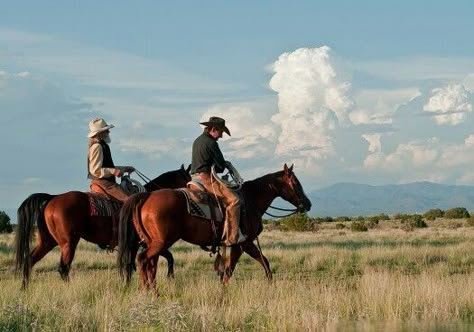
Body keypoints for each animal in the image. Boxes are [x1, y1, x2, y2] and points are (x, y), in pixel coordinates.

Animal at [16, 165, 191, 288]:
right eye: (188, 179)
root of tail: (53, 198)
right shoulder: (138, 243)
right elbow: (131, 265)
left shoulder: (141, 244)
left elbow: (161, 258)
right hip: (68, 243)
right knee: (63, 268)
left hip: (47, 242)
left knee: (29, 260)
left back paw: (25, 288)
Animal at [117, 163, 312, 290]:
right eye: (296, 183)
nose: (308, 204)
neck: (251, 199)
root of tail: (146, 196)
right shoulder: (242, 243)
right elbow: (231, 268)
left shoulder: (244, 244)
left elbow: (262, 260)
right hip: (160, 242)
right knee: (143, 260)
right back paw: (148, 291)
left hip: (152, 243)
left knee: (149, 263)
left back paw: (151, 290)